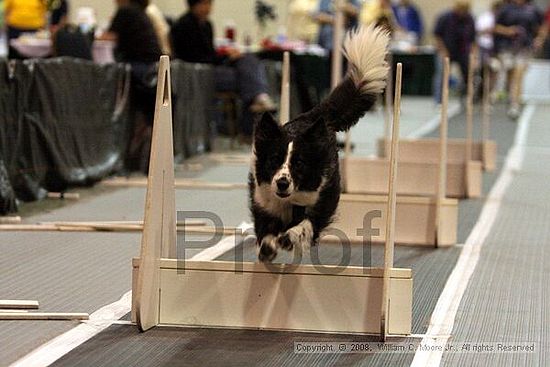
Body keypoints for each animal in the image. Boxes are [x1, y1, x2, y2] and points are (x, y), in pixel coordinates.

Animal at [248, 25, 390, 262]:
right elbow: (265, 230)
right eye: (274, 160)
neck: (290, 198)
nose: (282, 183)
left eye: (299, 163)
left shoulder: (321, 202)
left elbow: (306, 225)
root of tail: (317, 115)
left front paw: (290, 237)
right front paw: (267, 247)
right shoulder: (263, 203)